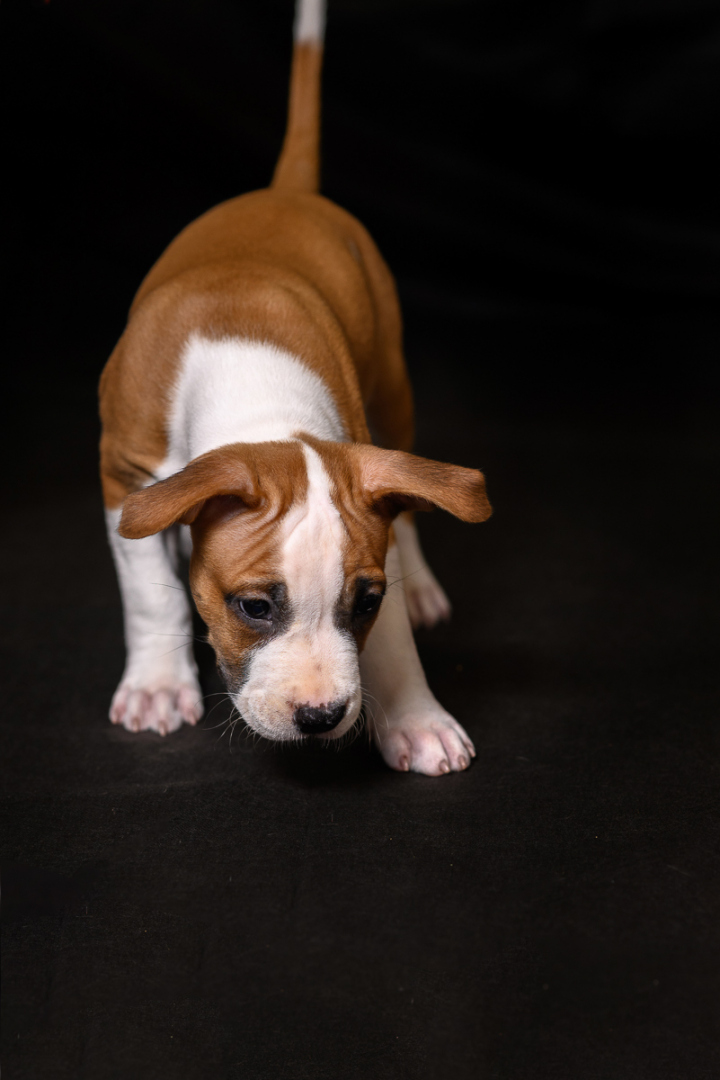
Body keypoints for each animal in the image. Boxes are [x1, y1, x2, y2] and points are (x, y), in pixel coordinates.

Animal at [98, 0, 492, 777]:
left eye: (365, 603)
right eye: (254, 608)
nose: (321, 717)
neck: (261, 409)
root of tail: (289, 191)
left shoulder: (361, 483)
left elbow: (393, 607)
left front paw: (415, 716)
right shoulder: (124, 476)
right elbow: (148, 593)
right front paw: (157, 683)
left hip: (391, 392)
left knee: (410, 492)